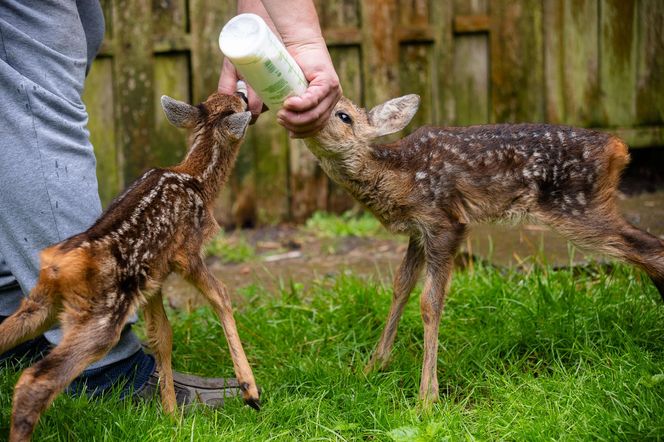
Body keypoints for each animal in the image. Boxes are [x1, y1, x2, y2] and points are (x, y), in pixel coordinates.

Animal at [0, 87, 260, 442]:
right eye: (240, 102)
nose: (244, 92)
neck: (198, 180)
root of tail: (58, 264)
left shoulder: (153, 277)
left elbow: (162, 336)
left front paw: (172, 418)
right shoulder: (186, 252)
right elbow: (221, 295)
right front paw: (249, 389)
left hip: (43, 304)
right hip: (102, 315)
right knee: (35, 381)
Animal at [304, 95, 664, 406]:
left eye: (344, 116)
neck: (398, 177)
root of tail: (619, 147)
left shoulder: (446, 223)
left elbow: (429, 302)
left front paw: (426, 399)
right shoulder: (419, 232)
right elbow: (400, 287)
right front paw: (371, 368)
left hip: (577, 207)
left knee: (651, 248)